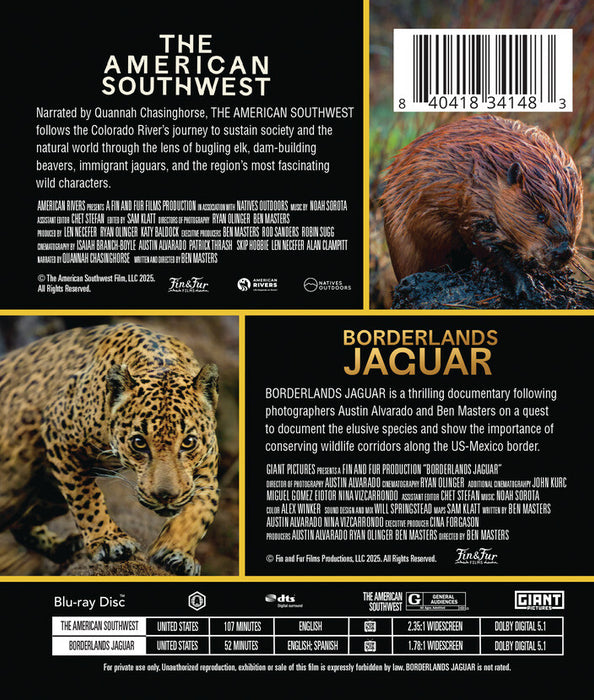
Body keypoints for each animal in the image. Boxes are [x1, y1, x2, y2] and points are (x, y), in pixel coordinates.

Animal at [0, 322, 220, 576]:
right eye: (139, 443)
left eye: (188, 442)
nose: (165, 496)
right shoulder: (57, 429)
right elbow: (85, 495)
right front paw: (109, 541)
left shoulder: (206, 469)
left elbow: (202, 507)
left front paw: (177, 552)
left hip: (46, 495)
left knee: (21, 523)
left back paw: (63, 547)